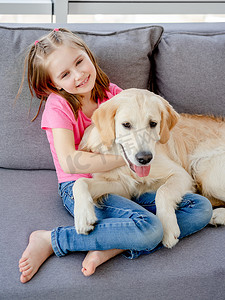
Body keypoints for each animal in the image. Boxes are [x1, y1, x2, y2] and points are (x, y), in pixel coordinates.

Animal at [73, 88, 224, 248]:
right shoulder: (122, 185)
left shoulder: (181, 174)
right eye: (126, 124)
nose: (144, 158)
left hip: (205, 171)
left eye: (153, 123)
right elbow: (80, 183)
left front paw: (168, 228)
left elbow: (163, 191)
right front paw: (83, 216)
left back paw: (217, 215)